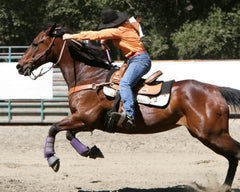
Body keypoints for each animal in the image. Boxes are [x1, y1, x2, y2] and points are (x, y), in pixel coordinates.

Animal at [16, 23, 240, 190]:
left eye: (35, 43)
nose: (19, 65)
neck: (90, 78)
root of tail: (216, 90)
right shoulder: (85, 122)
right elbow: (69, 134)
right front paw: (91, 151)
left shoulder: (85, 118)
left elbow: (53, 128)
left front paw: (52, 160)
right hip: (208, 135)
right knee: (232, 157)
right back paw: (224, 186)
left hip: (212, 134)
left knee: (235, 153)